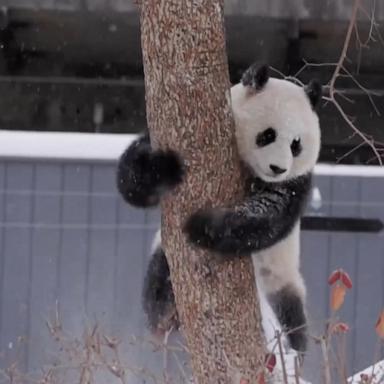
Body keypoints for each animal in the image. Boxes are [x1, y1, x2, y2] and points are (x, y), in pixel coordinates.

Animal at [116, 62, 320, 354]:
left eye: (296, 144)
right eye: (268, 135)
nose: (278, 168)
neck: (252, 171)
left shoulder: (294, 183)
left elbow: (269, 215)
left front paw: (204, 226)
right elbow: (133, 175)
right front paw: (163, 168)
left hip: (282, 279)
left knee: (292, 316)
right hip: (165, 256)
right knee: (160, 280)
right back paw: (164, 315)